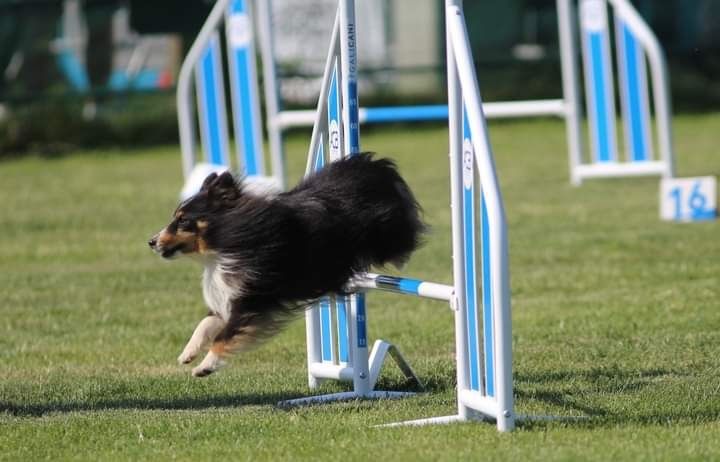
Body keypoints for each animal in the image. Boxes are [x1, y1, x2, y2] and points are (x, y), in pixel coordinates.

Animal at [148, 153, 424, 378]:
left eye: (183, 221)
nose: (151, 241)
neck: (226, 245)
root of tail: (376, 165)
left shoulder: (253, 300)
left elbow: (224, 335)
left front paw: (205, 367)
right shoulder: (228, 296)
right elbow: (206, 324)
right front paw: (187, 353)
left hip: (384, 233)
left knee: (405, 238)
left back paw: (402, 259)